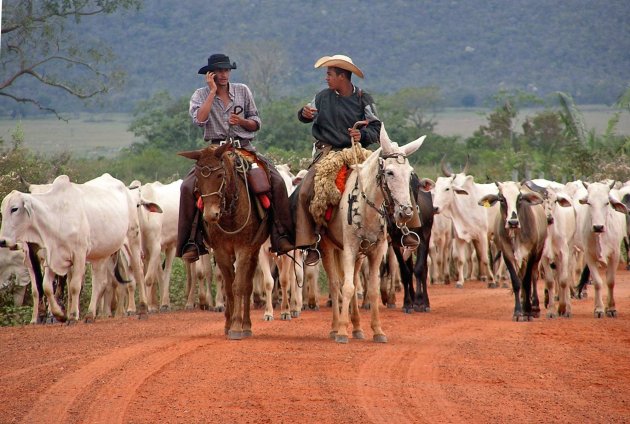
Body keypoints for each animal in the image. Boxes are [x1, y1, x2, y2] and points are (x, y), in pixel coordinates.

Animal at [0, 174, 157, 322]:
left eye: (14, 209)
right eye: (2, 211)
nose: (3, 241)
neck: (57, 215)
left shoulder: (79, 254)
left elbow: (74, 286)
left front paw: (72, 316)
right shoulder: (52, 256)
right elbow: (46, 287)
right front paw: (59, 315)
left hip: (132, 239)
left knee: (138, 271)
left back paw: (143, 309)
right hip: (101, 254)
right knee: (100, 282)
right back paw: (90, 315)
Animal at [179, 144, 270, 340]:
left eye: (220, 175)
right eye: (198, 177)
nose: (210, 215)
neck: (229, 213)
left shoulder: (244, 249)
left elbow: (239, 286)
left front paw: (237, 327)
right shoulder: (220, 251)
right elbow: (228, 286)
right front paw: (229, 325)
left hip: (254, 251)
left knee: (248, 285)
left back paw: (246, 325)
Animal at [320, 125, 430, 342]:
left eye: (410, 174)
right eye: (390, 172)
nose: (406, 212)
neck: (366, 207)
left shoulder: (377, 249)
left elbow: (371, 289)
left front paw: (377, 330)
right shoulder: (349, 248)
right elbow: (346, 287)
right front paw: (342, 331)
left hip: (359, 255)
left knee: (354, 282)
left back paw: (357, 328)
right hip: (329, 248)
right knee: (336, 284)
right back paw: (336, 327)